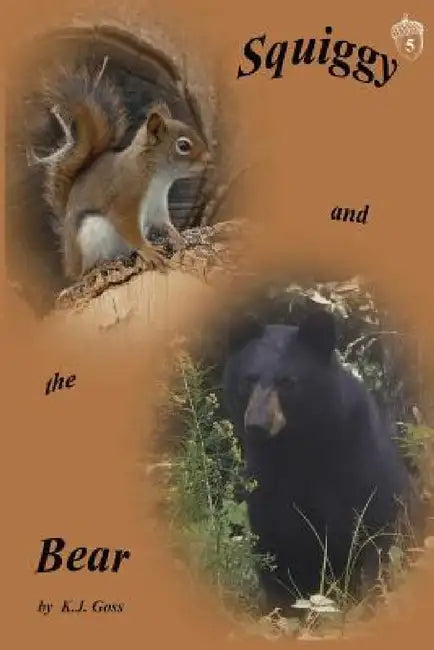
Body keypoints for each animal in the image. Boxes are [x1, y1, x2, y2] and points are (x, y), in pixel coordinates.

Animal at [222, 310, 422, 613]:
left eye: (287, 381)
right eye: (249, 378)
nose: (257, 425)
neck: (296, 445)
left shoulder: (356, 466)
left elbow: (368, 538)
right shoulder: (266, 478)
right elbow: (273, 543)